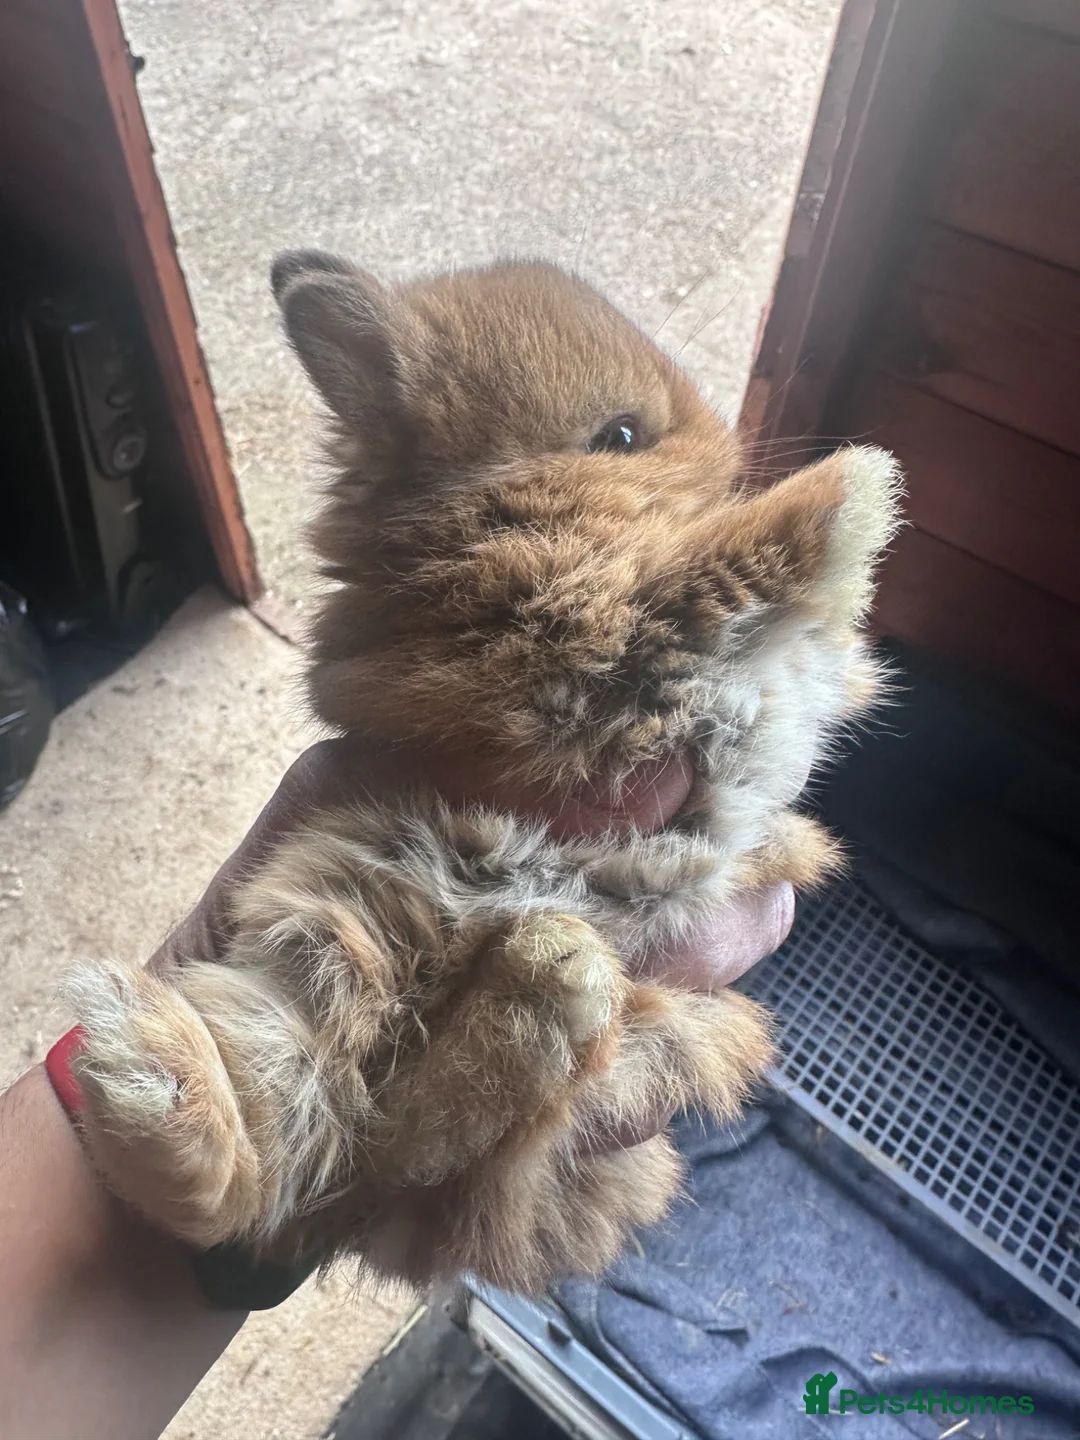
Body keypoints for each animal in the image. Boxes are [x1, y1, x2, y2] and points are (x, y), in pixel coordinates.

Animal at [65, 254, 902, 1293]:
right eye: (620, 435)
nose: (732, 447)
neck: (489, 511)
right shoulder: (578, 631)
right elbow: (716, 574)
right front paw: (860, 485)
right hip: (326, 940)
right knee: (310, 1162)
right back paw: (149, 1072)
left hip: (615, 1049)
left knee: (392, 1153)